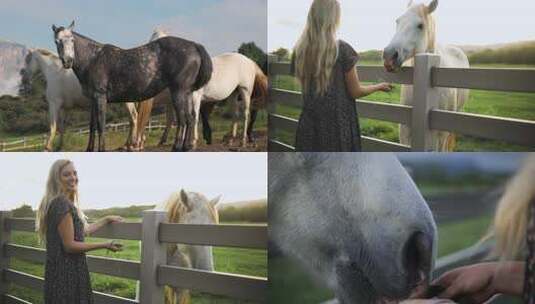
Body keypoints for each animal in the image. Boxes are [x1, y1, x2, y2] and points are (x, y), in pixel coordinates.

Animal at [51, 20, 213, 151]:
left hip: (178, 92)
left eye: (72, 40)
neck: (93, 59)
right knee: (190, 118)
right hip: (187, 93)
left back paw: (177, 147)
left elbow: (101, 125)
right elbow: (92, 126)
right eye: (57, 41)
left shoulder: (100, 97)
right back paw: (186, 146)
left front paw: (101, 149)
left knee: (183, 119)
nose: (68, 61)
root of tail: (193, 45)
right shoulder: (93, 100)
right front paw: (89, 149)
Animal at [134, 29, 268, 150]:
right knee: (235, 114)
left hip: (245, 90)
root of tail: (250, 61)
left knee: (246, 114)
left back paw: (243, 142)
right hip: (233, 94)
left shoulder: (195, 96)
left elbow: (194, 116)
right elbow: (187, 116)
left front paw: (192, 142)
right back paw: (230, 140)